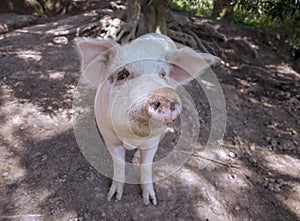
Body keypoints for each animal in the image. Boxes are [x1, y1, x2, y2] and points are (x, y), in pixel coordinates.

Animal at [76, 32, 217, 205]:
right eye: (122, 74)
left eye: (163, 74)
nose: (164, 95)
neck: (132, 137)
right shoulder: (109, 137)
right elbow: (119, 165)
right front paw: (113, 197)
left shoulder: (152, 143)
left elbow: (146, 166)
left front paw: (150, 201)